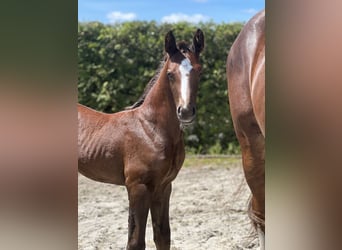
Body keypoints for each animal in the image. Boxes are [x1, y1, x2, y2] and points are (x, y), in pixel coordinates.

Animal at [79, 29, 204, 250]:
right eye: (170, 74)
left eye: (199, 71)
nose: (186, 111)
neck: (150, 129)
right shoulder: (137, 187)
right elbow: (135, 241)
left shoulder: (164, 186)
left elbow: (163, 236)